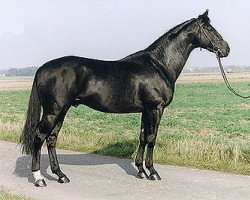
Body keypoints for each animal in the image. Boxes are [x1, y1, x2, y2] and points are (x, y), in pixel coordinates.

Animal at [20, 10, 229, 187]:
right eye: (210, 29)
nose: (226, 49)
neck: (158, 65)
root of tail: (41, 69)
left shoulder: (146, 110)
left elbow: (143, 137)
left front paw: (141, 171)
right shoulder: (155, 108)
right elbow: (152, 138)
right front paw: (153, 172)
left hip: (61, 111)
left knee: (51, 139)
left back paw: (61, 175)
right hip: (53, 111)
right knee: (39, 137)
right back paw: (39, 179)